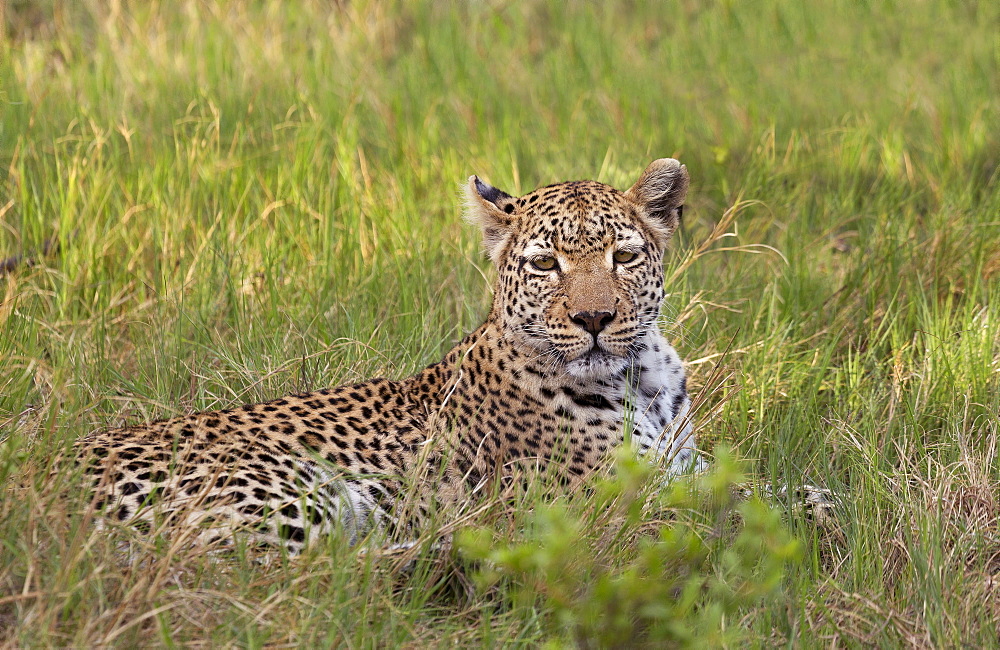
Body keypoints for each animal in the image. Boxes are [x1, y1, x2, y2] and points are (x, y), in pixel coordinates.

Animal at [74, 156, 704, 548]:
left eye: (624, 257)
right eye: (546, 264)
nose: (594, 318)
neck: (643, 379)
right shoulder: (615, 503)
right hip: (287, 486)